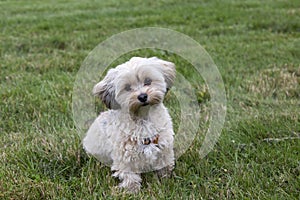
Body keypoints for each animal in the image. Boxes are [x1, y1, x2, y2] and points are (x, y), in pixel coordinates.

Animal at [82, 57, 176, 193]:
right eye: (127, 88)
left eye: (148, 81)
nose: (142, 96)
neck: (143, 117)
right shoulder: (125, 156)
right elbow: (129, 175)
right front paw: (132, 190)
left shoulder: (164, 147)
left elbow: (164, 165)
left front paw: (165, 180)